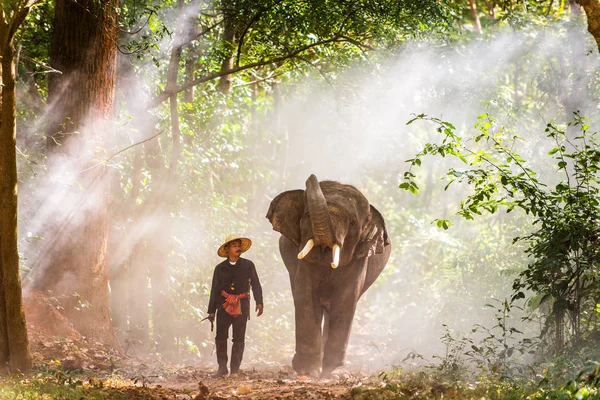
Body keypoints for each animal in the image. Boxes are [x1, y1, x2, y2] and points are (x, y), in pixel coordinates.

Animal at [266, 173, 390, 376]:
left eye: (353, 223)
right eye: (307, 215)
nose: (311, 176)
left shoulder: (359, 258)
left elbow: (346, 300)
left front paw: (336, 374)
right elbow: (305, 294)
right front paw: (307, 371)